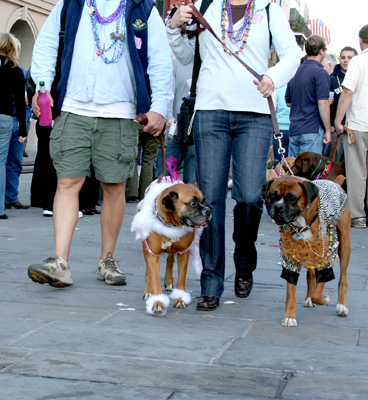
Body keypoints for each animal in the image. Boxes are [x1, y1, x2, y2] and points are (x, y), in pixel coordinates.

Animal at [131, 180, 210, 316]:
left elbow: (181, 278)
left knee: (170, 259)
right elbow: (154, 276)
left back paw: (168, 281)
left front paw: (180, 299)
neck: (170, 224)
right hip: (146, 249)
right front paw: (157, 302)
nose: (208, 211)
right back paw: (148, 291)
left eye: (204, 201)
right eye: (193, 203)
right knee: (148, 271)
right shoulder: (153, 254)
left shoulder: (184, 253)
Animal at [262, 177, 350, 326]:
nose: (278, 207)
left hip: (344, 244)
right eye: (273, 196)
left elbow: (318, 291)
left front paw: (324, 299)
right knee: (311, 275)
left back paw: (342, 306)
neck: (301, 224)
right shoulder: (290, 259)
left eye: (292, 198)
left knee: (342, 279)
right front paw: (290, 316)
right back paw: (309, 297)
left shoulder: (327, 255)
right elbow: (291, 291)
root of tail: (333, 182)